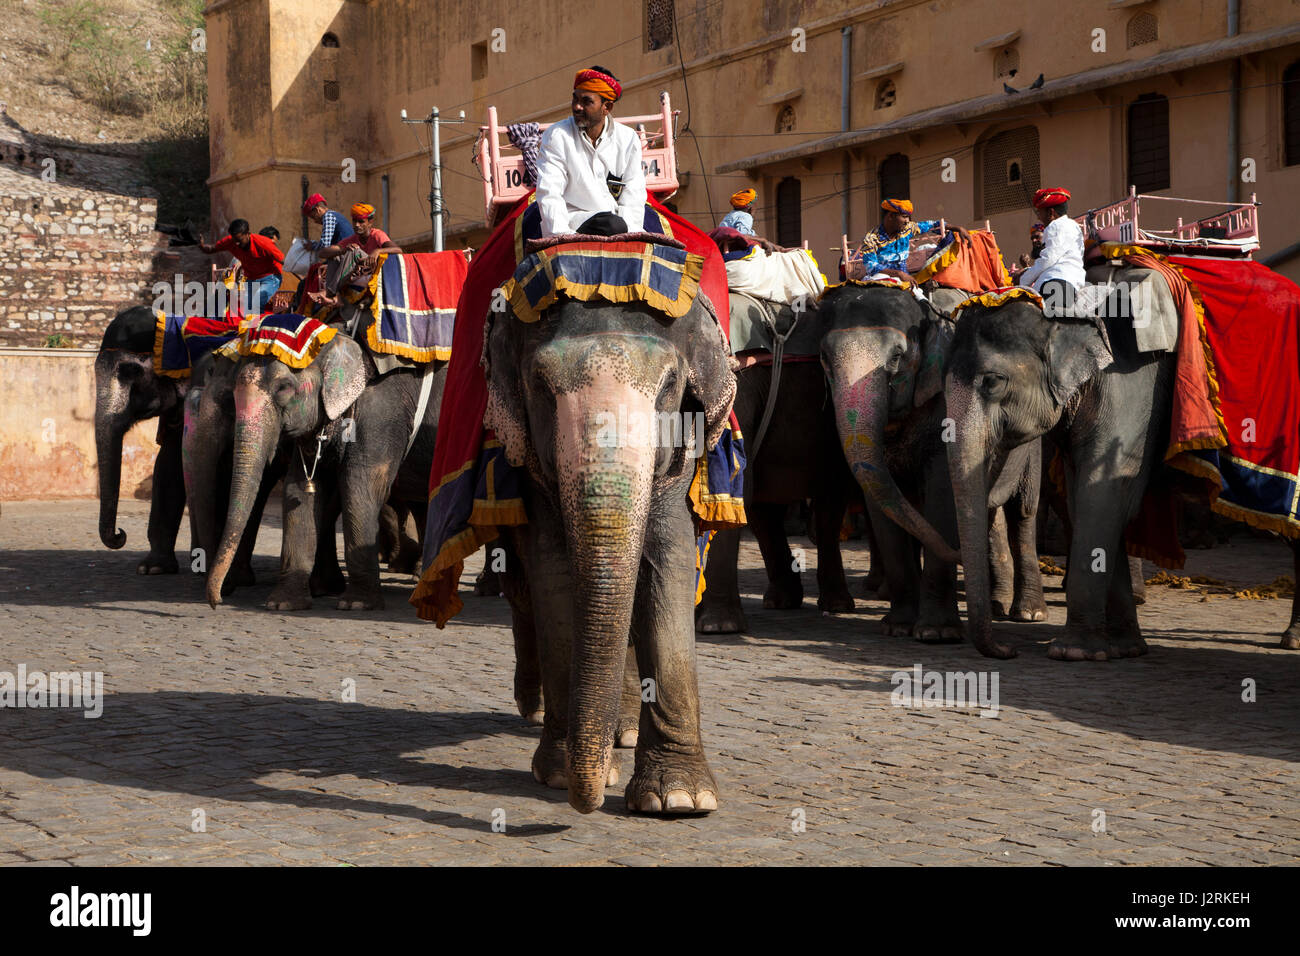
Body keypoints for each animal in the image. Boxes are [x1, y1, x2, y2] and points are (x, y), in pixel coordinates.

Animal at [204, 330, 441, 613]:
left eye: (283, 388)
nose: (217, 601)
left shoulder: (383, 413)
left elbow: (359, 486)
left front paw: (356, 604)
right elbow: (300, 491)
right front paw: (282, 603)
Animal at [821, 283, 1045, 642]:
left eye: (897, 357)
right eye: (825, 359)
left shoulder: (946, 405)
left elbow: (941, 492)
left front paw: (936, 633)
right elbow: (880, 503)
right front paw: (897, 627)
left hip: (1032, 437)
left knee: (1023, 512)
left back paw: (1028, 613)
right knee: (989, 513)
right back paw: (996, 604)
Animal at [941, 280, 1175, 660]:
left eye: (993, 381)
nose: (1008, 650)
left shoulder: (1132, 387)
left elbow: (1104, 491)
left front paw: (1072, 652)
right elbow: (1088, 497)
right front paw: (1123, 649)